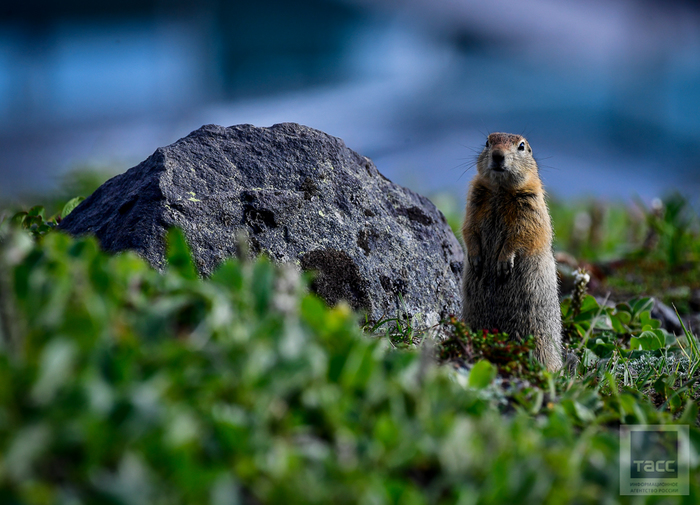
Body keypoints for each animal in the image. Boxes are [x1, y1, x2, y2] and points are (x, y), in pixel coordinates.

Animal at [460, 133, 564, 370]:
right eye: (487, 142)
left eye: (522, 146)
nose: (498, 155)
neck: (500, 190)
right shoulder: (474, 198)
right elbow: (469, 228)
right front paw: (476, 258)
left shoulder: (531, 203)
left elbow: (523, 234)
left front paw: (503, 262)